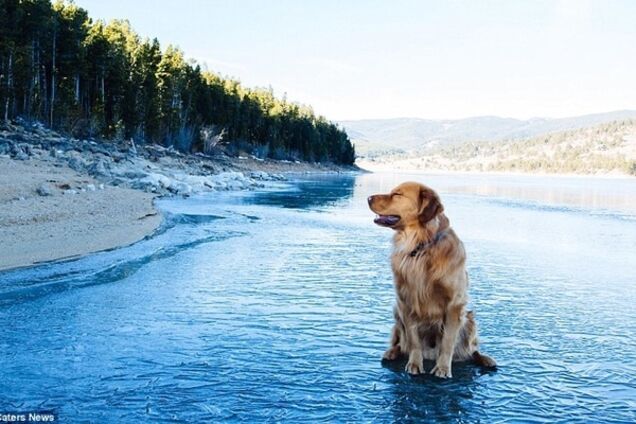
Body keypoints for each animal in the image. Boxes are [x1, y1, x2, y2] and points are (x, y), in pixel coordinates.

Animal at [368, 181, 496, 376]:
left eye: (397, 194)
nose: (368, 198)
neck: (420, 247)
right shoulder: (406, 301)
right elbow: (413, 340)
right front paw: (414, 364)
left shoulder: (454, 305)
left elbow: (448, 342)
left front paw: (442, 369)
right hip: (396, 310)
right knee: (400, 342)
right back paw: (391, 352)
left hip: (469, 318)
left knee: (472, 350)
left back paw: (485, 359)